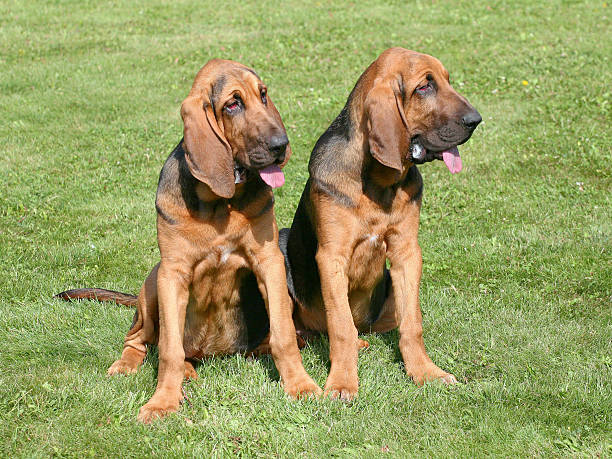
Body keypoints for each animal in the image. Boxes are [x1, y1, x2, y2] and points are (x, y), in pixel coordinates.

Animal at [58, 59, 320, 422]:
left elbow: (284, 336)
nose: (281, 145)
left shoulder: (269, 262)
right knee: (140, 340)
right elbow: (169, 350)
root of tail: (207, 354)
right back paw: (134, 366)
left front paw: (300, 385)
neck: (219, 204)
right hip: (152, 284)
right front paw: (162, 402)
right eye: (232, 104)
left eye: (263, 94)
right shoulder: (173, 273)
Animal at [280, 46, 480, 398]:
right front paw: (342, 383)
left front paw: (425, 372)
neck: (377, 183)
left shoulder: (407, 252)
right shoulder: (332, 256)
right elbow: (341, 326)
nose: (476, 120)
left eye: (447, 80)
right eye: (424, 87)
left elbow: (413, 324)